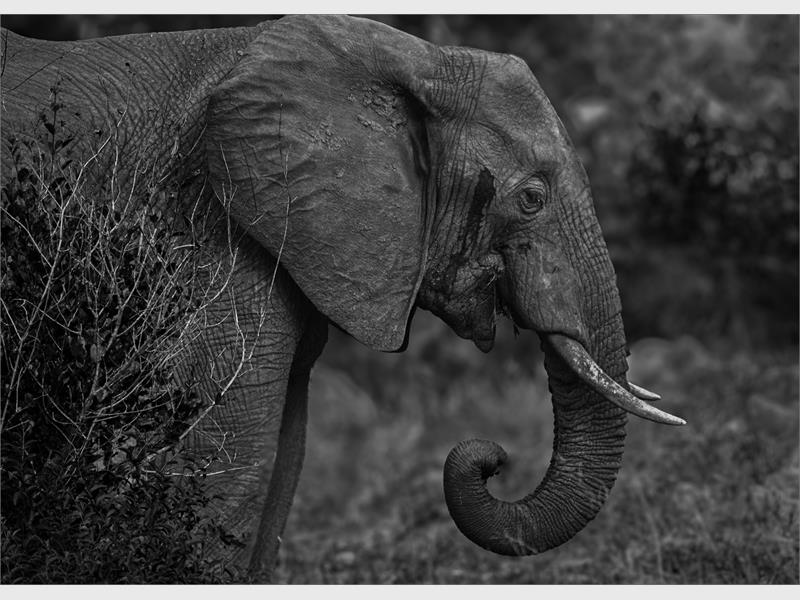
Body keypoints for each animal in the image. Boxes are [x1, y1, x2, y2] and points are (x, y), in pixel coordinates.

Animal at [0, 15, 685, 580]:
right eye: (532, 199)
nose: (491, 459)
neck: (415, 61)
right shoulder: (211, 228)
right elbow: (231, 454)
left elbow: (286, 452)